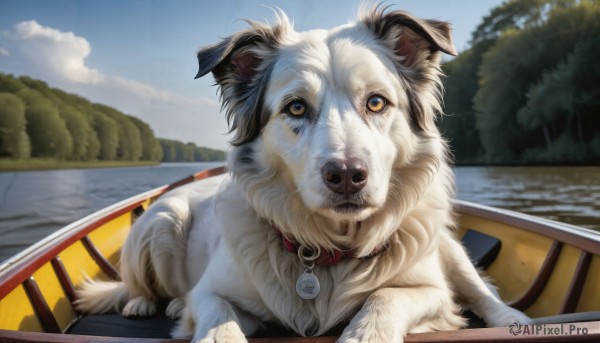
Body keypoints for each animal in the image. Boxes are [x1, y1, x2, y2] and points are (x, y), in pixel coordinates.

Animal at [74, 6, 528, 343]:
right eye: (295, 107)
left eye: (377, 102)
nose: (347, 175)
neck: (327, 253)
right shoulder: (212, 292)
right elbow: (218, 320)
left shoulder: (431, 293)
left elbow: (387, 297)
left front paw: (365, 330)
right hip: (164, 221)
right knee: (139, 284)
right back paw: (147, 302)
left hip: (446, 244)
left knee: (478, 288)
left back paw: (513, 318)